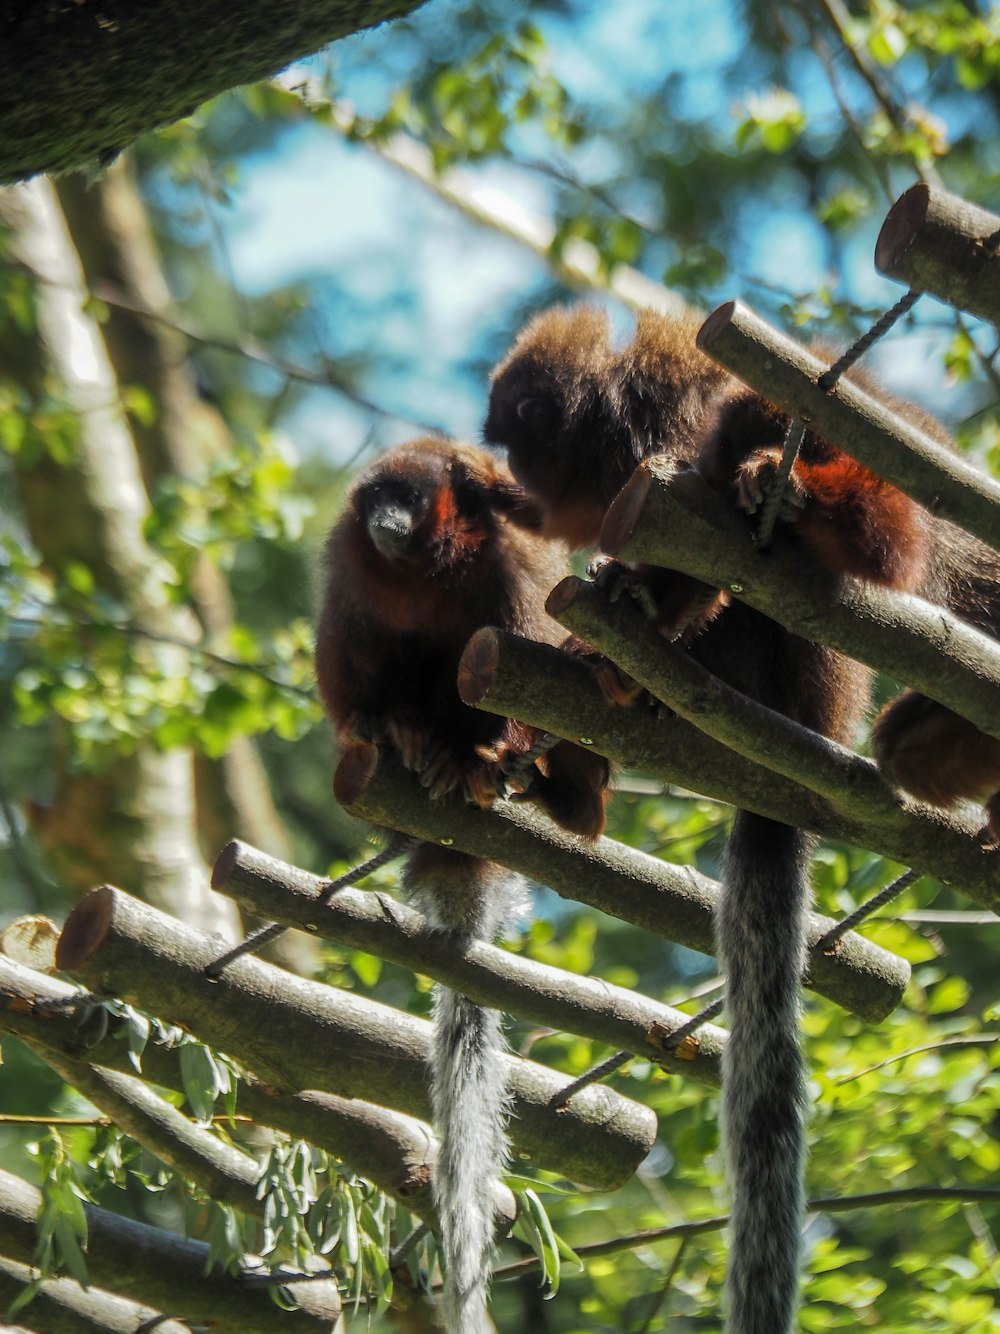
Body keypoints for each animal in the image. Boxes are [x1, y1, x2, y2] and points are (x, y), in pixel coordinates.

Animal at [317, 437, 608, 1334]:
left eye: (407, 499)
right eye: (375, 499)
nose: (386, 517)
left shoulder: (511, 557)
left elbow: (525, 631)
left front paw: (496, 751)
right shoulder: (346, 559)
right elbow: (346, 650)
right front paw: (378, 725)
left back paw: (485, 767)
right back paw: (409, 739)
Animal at [482, 305, 997, 1334]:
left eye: (519, 443)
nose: (514, 483)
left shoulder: (735, 406)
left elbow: (888, 539)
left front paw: (784, 496)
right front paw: (626, 600)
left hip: (804, 690)